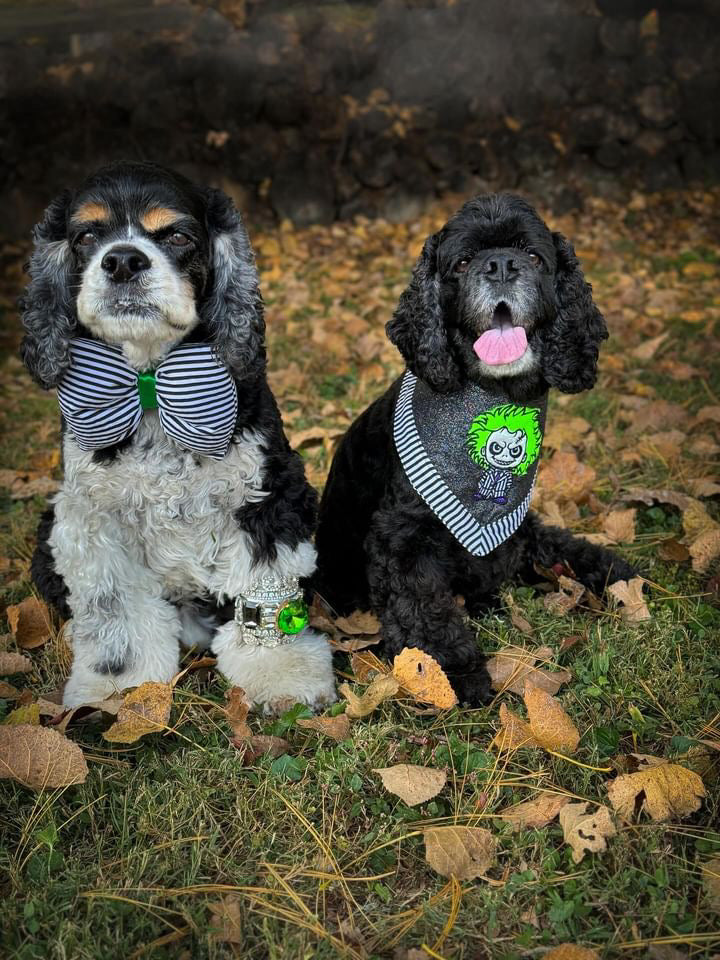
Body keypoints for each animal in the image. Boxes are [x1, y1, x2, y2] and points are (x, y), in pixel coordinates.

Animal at [21, 161, 336, 708]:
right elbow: (115, 611)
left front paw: (282, 675)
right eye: (86, 236)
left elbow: (264, 599)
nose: (123, 261)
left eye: (177, 235)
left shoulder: (268, 495)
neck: (150, 388)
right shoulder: (92, 519)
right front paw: (117, 686)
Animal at [316, 195, 636, 704]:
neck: (494, 398)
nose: (501, 265)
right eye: (462, 262)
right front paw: (452, 674)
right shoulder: (402, 536)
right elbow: (424, 611)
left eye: (533, 256)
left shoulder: (517, 527)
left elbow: (561, 546)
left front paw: (616, 574)